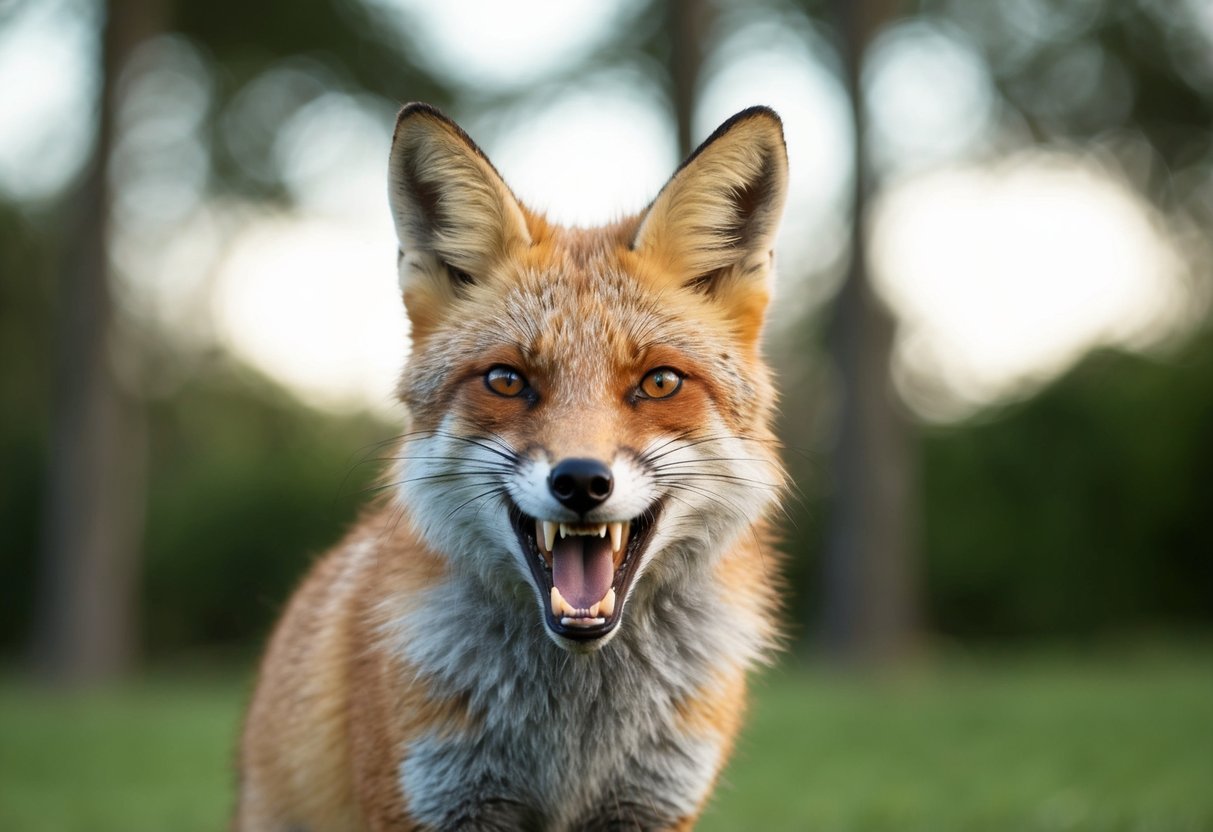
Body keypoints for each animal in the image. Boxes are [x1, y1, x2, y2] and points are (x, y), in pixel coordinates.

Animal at [236, 102, 789, 831]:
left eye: (660, 383)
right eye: (506, 380)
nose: (581, 480)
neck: (573, 737)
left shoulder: (650, 804)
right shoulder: (439, 797)